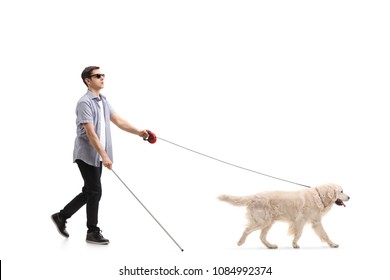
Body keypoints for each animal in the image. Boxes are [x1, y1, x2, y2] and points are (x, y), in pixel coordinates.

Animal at [219, 184, 350, 249]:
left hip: (268, 222)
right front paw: (295, 244)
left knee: (262, 237)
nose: (349, 197)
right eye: (341, 191)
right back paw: (240, 242)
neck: (319, 196)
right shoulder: (301, 220)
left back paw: (270, 246)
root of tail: (254, 196)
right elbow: (299, 233)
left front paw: (332, 244)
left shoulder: (316, 221)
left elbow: (325, 234)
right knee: (247, 229)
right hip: (263, 221)